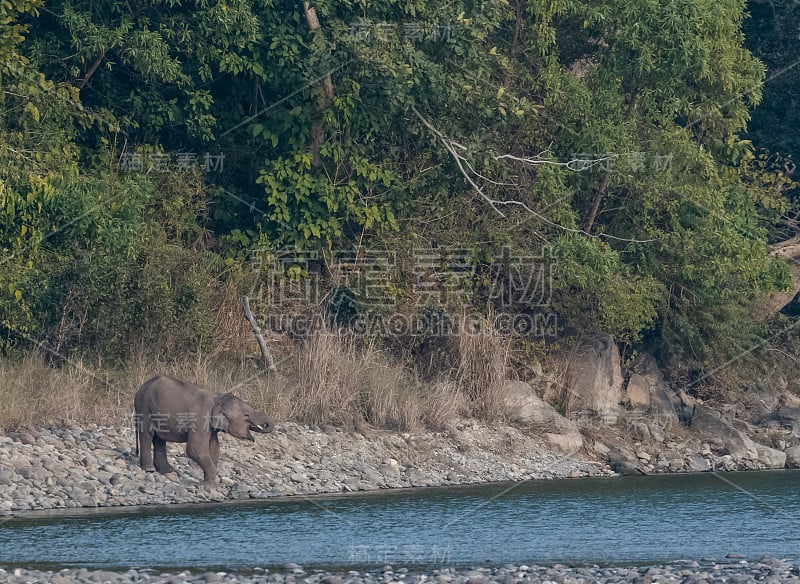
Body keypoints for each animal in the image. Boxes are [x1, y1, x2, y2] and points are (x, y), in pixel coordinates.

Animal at [134, 376, 276, 486]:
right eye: (246, 415)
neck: (218, 398)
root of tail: (142, 386)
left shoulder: (211, 427)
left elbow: (214, 448)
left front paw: (209, 483)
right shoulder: (200, 420)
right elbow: (195, 449)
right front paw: (206, 486)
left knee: (159, 438)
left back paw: (167, 471)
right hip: (144, 406)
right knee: (147, 434)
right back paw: (150, 469)